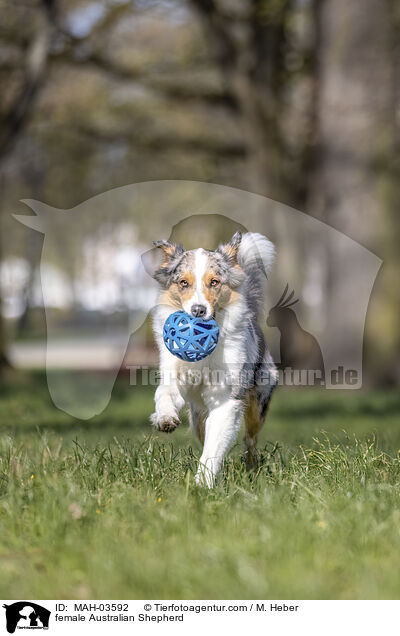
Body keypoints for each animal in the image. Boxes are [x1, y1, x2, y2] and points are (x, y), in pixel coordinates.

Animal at [148, 232, 276, 486]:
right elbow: (164, 393)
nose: (198, 311)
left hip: (258, 402)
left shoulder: (226, 400)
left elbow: (213, 449)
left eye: (214, 282)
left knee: (249, 441)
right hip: (197, 417)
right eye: (183, 283)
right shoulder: (173, 373)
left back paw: (251, 470)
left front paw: (201, 483)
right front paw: (164, 418)